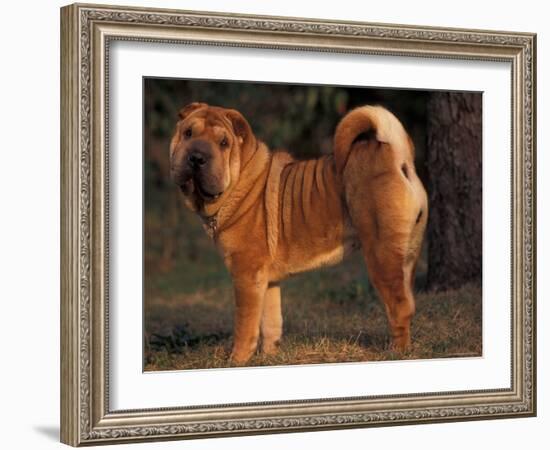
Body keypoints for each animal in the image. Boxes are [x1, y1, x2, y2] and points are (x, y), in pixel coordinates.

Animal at [170, 103, 430, 366]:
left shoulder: (246, 276)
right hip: (407, 255)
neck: (239, 181)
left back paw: (396, 352)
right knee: (410, 301)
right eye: (188, 133)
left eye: (223, 143)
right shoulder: (267, 281)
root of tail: (396, 154)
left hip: (381, 255)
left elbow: (245, 324)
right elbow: (271, 322)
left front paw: (237, 360)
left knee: (399, 306)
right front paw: (270, 356)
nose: (196, 158)